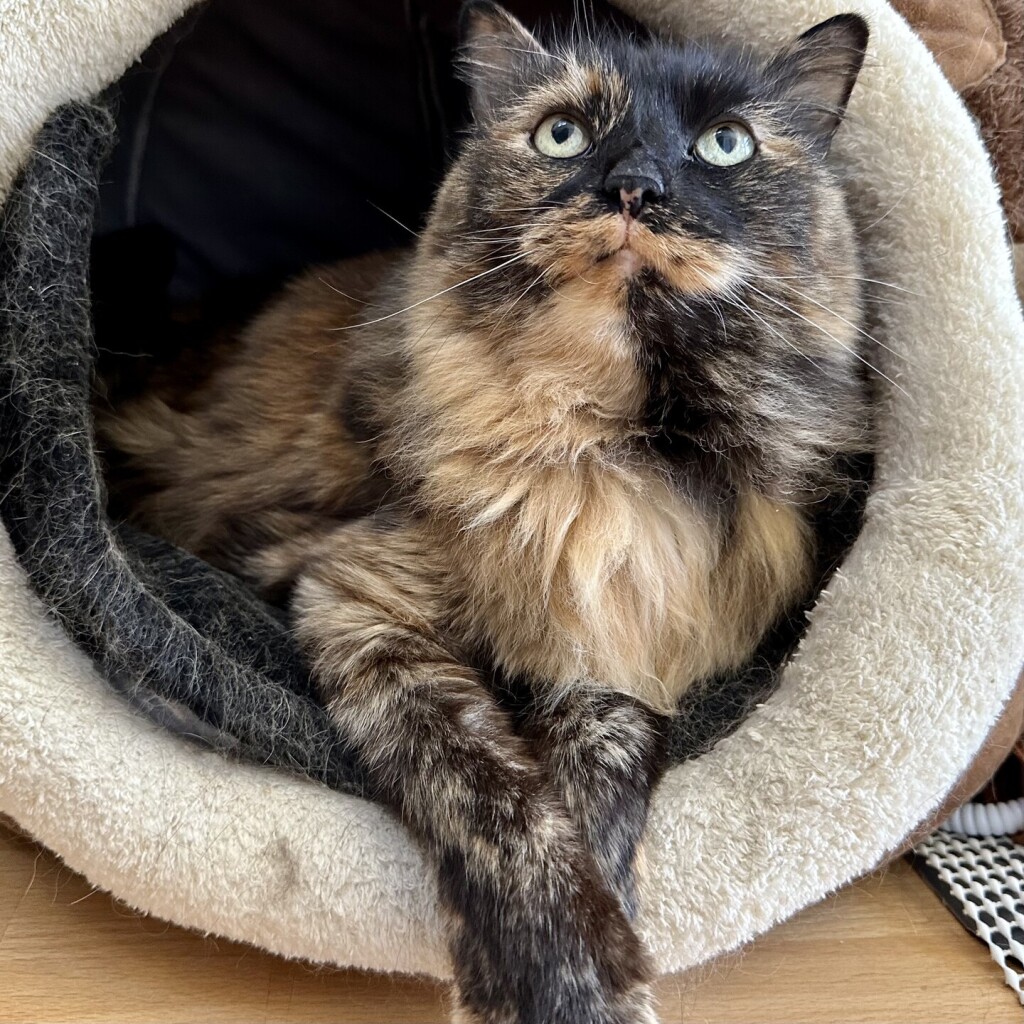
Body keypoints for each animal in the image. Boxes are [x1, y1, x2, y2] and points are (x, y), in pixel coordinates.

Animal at [99, 4, 872, 1019]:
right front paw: (560, 981)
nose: (635, 186)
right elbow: (493, 794)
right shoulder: (359, 597)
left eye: (726, 143)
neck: (603, 447)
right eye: (562, 135)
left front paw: (609, 902)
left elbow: (599, 770)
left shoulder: (626, 646)